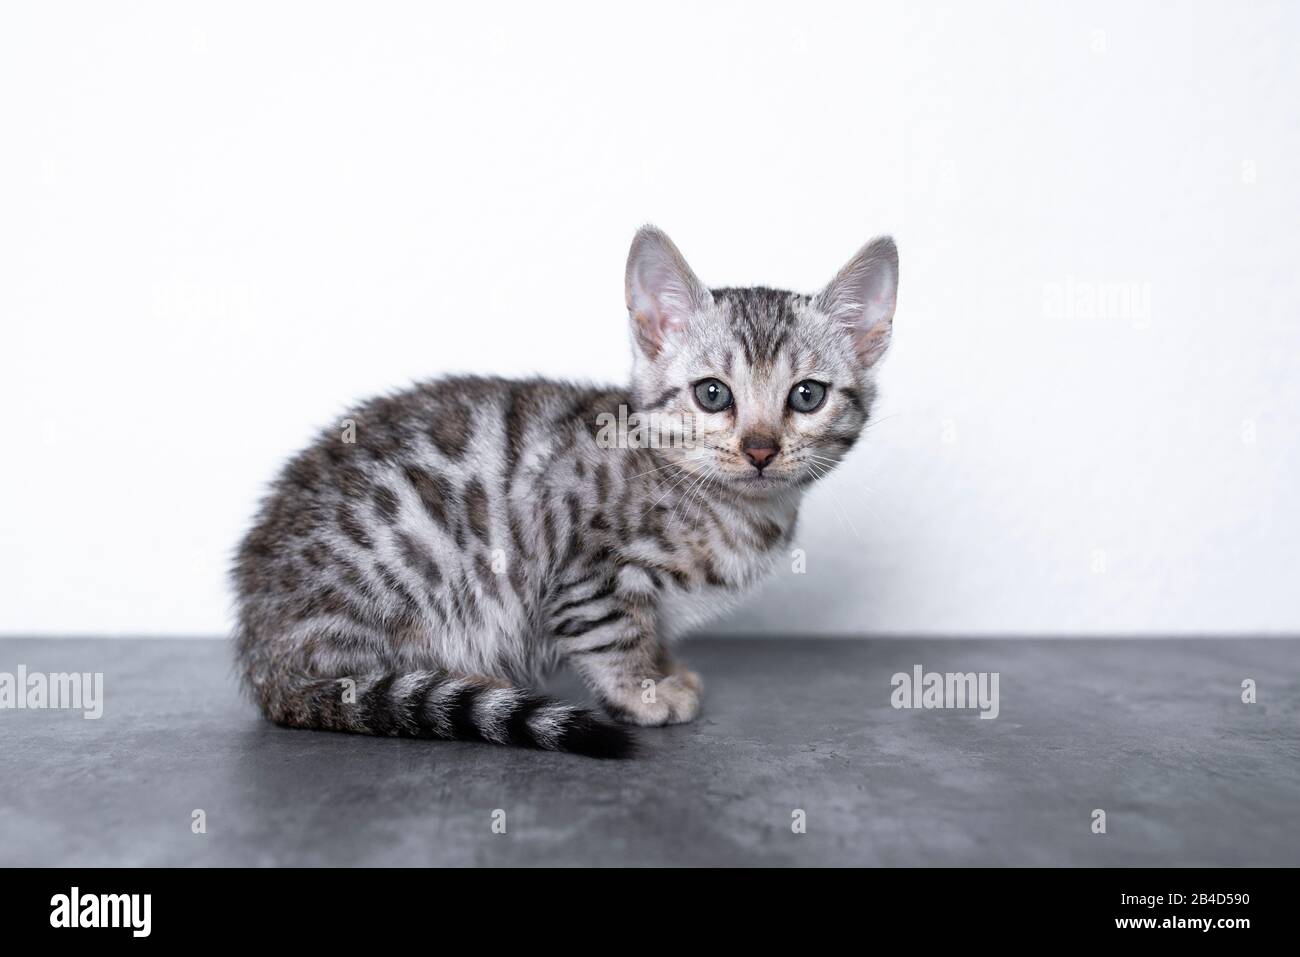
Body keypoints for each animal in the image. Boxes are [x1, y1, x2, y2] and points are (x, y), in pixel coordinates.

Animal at [233, 223, 899, 754]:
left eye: (807, 395)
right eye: (713, 393)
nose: (760, 449)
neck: (732, 508)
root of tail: (264, 658)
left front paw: (667, 671)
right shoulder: (585, 571)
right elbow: (614, 635)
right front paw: (644, 690)